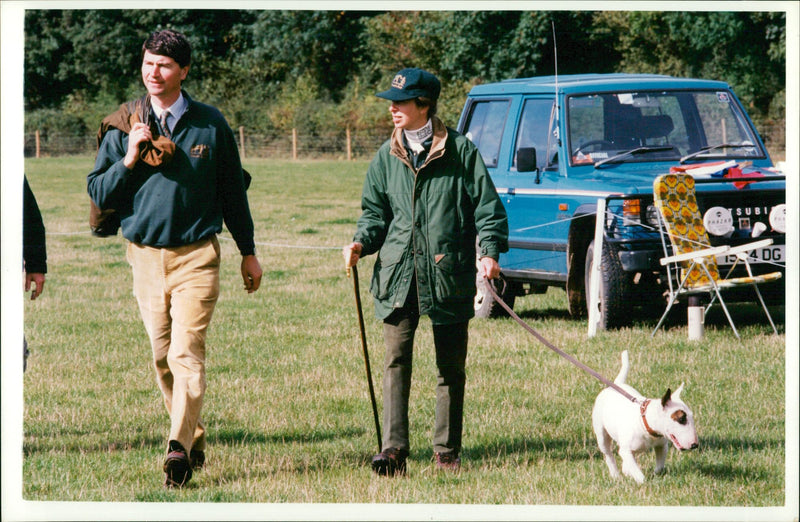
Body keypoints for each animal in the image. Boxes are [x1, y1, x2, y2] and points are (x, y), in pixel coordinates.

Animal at [592, 348, 696, 482]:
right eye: (681, 419)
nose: (695, 445)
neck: (645, 423)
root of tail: (616, 384)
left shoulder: (662, 445)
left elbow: (660, 467)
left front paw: (656, 474)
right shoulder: (626, 450)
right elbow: (639, 475)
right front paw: (643, 481)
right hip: (601, 434)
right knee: (608, 454)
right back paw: (616, 475)